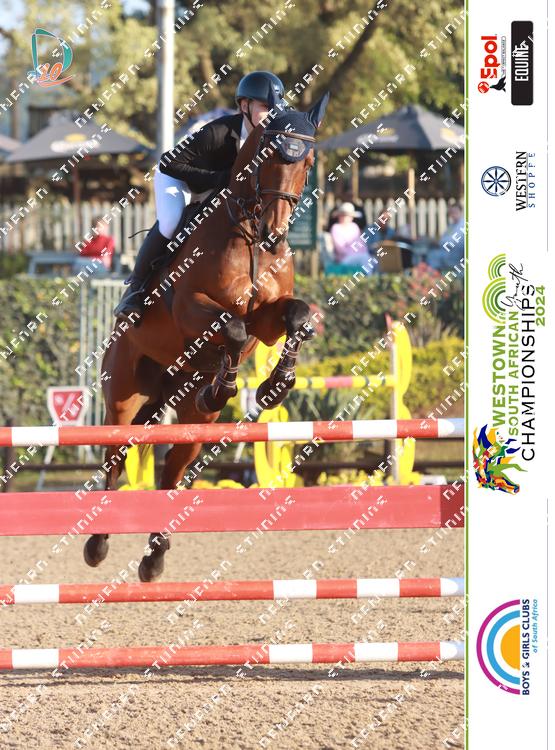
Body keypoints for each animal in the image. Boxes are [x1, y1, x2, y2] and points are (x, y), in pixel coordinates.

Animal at [83, 91, 330, 581]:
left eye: (308, 161)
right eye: (268, 158)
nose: (276, 236)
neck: (249, 233)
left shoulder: (267, 319)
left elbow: (295, 316)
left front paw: (275, 387)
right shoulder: (191, 307)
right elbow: (231, 327)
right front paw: (227, 385)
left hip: (192, 422)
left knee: (171, 473)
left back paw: (154, 558)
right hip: (123, 400)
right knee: (115, 460)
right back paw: (97, 545)